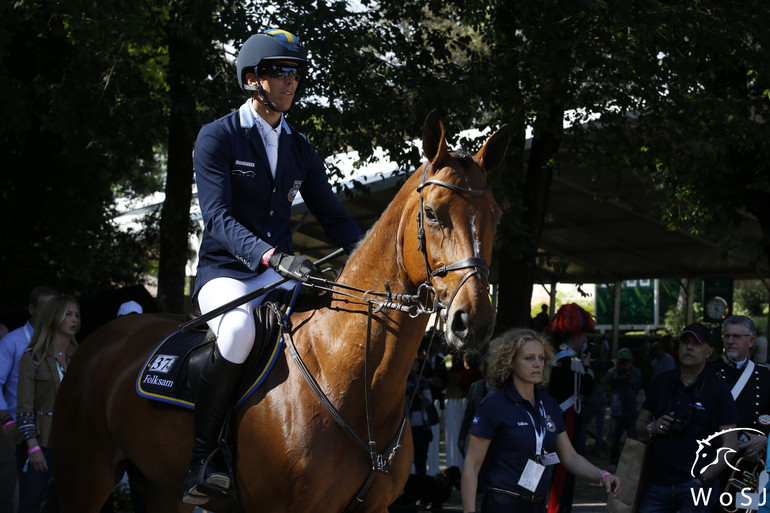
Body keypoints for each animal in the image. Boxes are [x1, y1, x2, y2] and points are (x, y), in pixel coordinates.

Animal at [55, 113, 510, 512]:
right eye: (431, 213)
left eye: (496, 216)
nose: (474, 321)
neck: (350, 375)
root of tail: (103, 337)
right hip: (85, 475)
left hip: (159, 487)